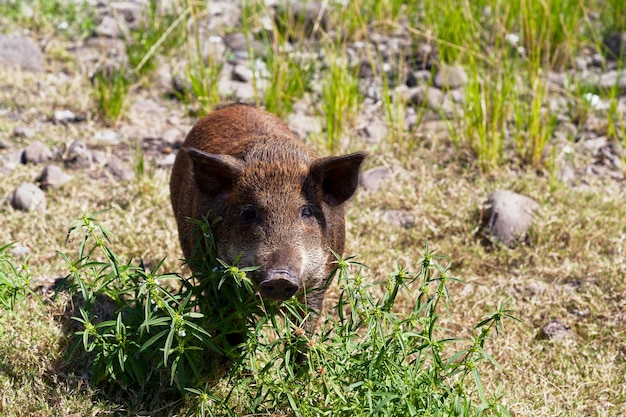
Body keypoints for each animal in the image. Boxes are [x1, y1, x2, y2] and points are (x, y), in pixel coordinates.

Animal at [169, 105, 366, 332]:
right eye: (249, 212)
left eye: (306, 211)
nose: (280, 277)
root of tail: (233, 106)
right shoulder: (215, 282)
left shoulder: (320, 282)